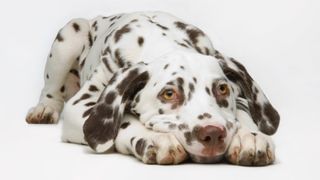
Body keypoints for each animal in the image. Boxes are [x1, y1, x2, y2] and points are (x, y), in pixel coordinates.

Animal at [25, 11, 280, 166]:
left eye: (223, 89)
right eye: (169, 94)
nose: (213, 133)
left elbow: (243, 114)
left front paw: (250, 137)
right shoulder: (79, 106)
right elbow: (123, 121)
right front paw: (156, 138)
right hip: (70, 35)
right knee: (51, 91)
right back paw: (44, 109)